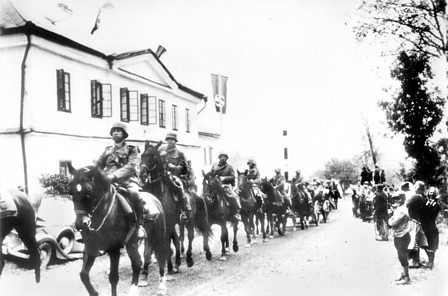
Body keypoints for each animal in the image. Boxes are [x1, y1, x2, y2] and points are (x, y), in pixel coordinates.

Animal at [69, 164, 167, 296]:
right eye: (71, 193)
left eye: (88, 193)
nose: (80, 224)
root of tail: (155, 199)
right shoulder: (90, 247)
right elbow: (83, 274)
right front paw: (94, 293)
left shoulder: (114, 249)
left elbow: (113, 278)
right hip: (132, 243)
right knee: (137, 263)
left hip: (158, 238)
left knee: (160, 258)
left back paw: (161, 287)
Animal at [139, 140, 211, 272]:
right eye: (142, 155)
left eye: (152, 156)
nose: (141, 174)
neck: (159, 193)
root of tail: (193, 194)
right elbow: (169, 242)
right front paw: (171, 264)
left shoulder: (169, 224)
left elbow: (169, 242)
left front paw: (170, 266)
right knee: (180, 238)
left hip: (190, 220)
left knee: (192, 236)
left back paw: (190, 258)